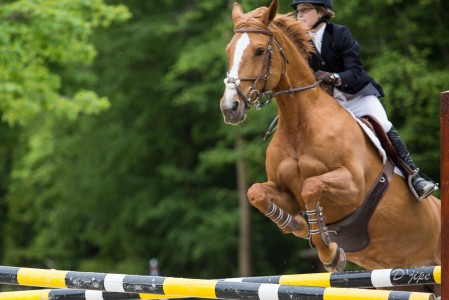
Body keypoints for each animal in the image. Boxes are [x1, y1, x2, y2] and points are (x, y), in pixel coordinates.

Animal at [219, 0, 440, 276]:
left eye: (259, 51)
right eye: (229, 50)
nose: (230, 108)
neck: (299, 126)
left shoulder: (353, 186)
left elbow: (311, 186)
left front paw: (330, 253)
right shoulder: (284, 190)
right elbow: (256, 193)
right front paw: (298, 225)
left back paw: (422, 184)